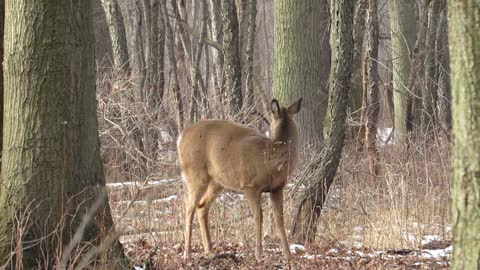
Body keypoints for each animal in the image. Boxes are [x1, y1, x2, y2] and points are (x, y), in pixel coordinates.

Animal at [178, 97, 302, 260]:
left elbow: (280, 219)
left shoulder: (277, 188)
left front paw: (288, 255)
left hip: (217, 181)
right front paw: (259, 254)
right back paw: (187, 253)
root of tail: (180, 137)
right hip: (195, 174)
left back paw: (210, 251)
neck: (270, 158)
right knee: (188, 208)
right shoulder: (250, 185)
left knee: (202, 206)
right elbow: (258, 217)